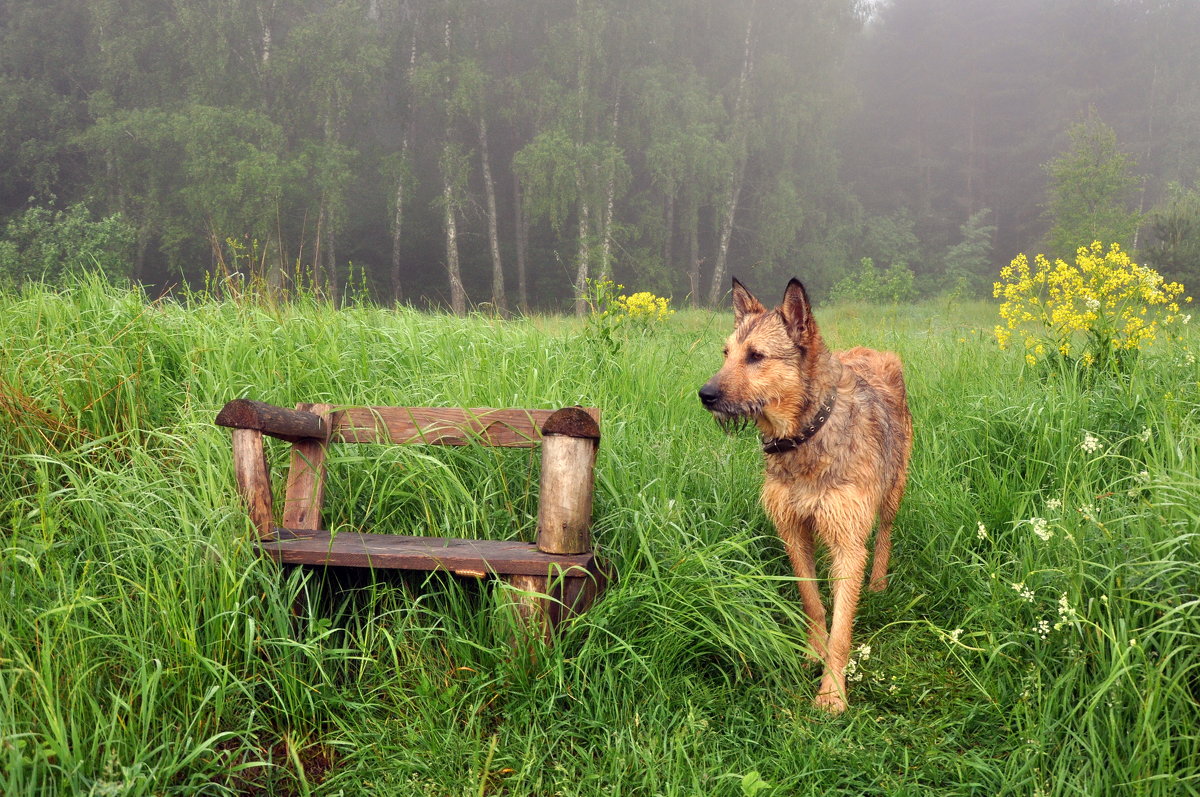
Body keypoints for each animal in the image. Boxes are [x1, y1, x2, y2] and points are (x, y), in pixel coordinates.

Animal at [700, 277, 912, 710]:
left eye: (756, 356)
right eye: (727, 354)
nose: (705, 394)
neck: (805, 437)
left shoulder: (847, 541)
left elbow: (842, 629)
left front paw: (832, 693)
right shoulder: (793, 529)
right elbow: (812, 602)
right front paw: (813, 652)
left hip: (892, 489)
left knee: (884, 535)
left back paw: (878, 584)